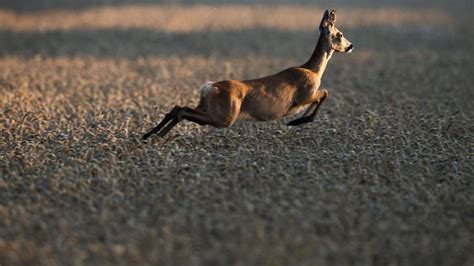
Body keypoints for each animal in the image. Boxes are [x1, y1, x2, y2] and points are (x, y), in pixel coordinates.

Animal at [143, 8, 354, 139]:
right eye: (340, 34)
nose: (350, 46)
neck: (313, 70)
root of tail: (209, 87)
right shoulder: (304, 94)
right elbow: (324, 94)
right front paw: (298, 121)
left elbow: (323, 95)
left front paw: (297, 121)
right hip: (225, 115)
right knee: (183, 111)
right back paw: (156, 137)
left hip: (208, 107)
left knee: (179, 107)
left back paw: (149, 136)